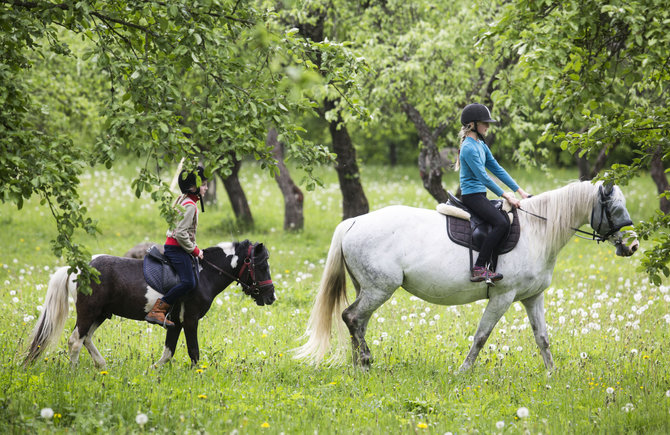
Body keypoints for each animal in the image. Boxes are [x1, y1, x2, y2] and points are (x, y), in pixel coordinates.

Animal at [24, 242, 276, 368]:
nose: (271, 296)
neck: (204, 273)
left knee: (86, 339)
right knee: (75, 341)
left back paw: (102, 365)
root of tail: (79, 268)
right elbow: (194, 352)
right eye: (262, 265)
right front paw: (198, 375)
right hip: (89, 312)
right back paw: (73, 372)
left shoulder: (175, 323)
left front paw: (153, 371)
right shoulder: (190, 320)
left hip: (101, 314)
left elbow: (168, 353)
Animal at [296, 182, 644, 372]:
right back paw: (365, 362)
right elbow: (481, 336)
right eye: (614, 208)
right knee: (352, 317)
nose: (633, 246)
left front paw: (552, 373)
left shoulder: (533, 297)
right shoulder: (503, 296)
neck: (537, 231)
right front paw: (463, 371)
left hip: (368, 289)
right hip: (379, 289)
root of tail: (353, 222)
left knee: (358, 321)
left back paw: (360, 364)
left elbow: (542, 338)